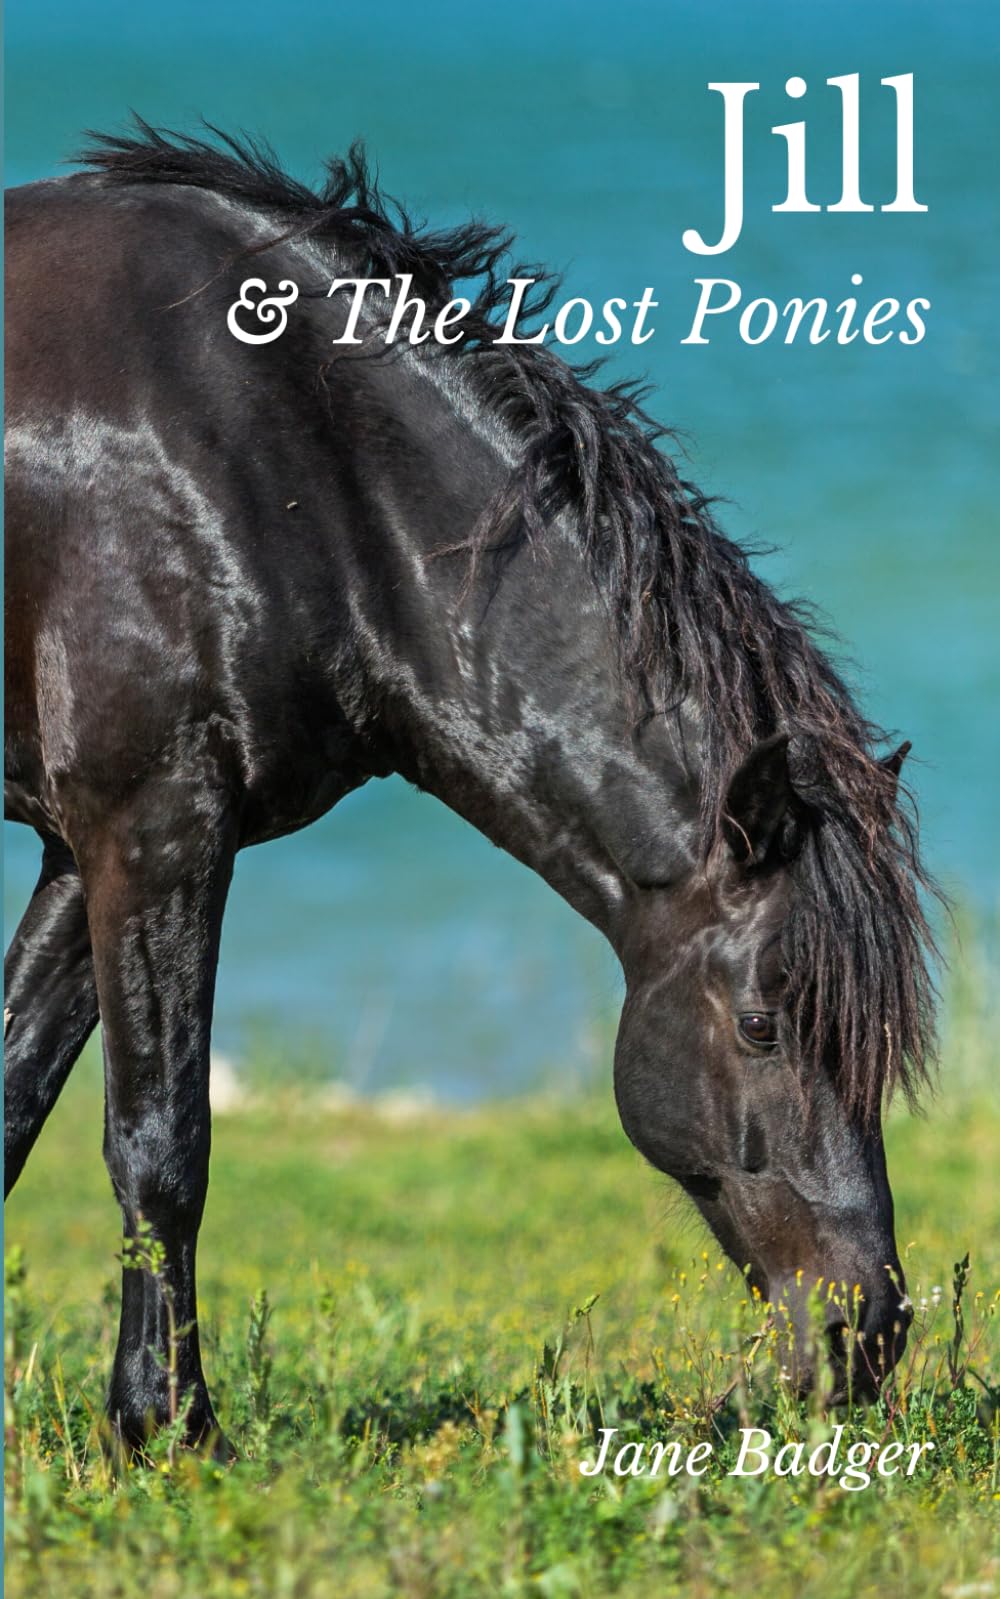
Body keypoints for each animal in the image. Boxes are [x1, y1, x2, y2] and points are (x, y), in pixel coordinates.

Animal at [4, 121, 937, 1453]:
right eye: (761, 1024)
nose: (867, 1333)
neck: (273, 457)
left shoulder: (83, 852)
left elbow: (13, 1102)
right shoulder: (152, 828)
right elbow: (160, 1141)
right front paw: (170, 1430)